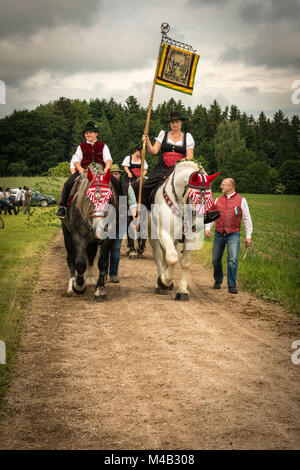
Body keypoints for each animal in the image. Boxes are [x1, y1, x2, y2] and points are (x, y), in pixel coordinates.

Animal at [61, 162, 119, 302]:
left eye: (110, 198)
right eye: (89, 197)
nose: (100, 228)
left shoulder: (108, 239)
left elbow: (102, 263)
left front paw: (100, 291)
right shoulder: (78, 237)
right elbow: (80, 263)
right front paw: (78, 286)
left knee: (91, 255)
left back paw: (90, 278)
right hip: (67, 235)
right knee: (70, 258)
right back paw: (71, 286)